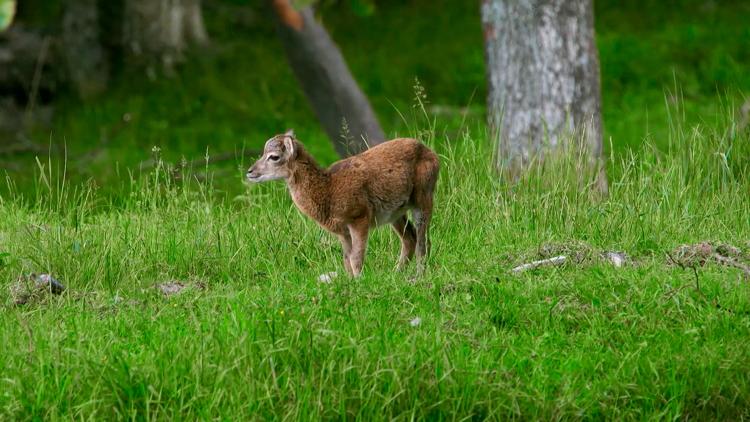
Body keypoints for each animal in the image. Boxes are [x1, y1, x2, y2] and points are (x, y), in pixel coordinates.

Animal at [247, 131, 440, 276]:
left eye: (274, 157)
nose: (250, 172)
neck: (328, 189)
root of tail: (431, 153)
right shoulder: (342, 231)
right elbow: (347, 260)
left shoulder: (359, 219)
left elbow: (356, 258)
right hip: (395, 214)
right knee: (409, 239)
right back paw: (396, 274)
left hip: (423, 199)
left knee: (422, 242)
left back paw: (418, 276)